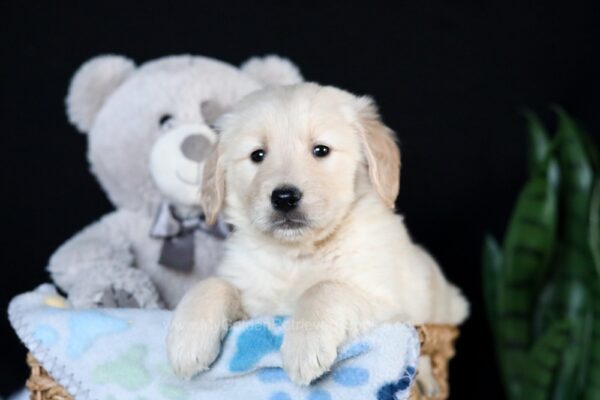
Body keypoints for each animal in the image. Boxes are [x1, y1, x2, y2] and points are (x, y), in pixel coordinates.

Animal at [168, 83, 468, 388]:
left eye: (321, 150)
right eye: (257, 155)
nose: (284, 198)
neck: (296, 254)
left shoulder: (392, 309)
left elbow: (325, 287)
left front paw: (304, 346)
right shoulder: (255, 306)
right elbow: (213, 284)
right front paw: (186, 342)